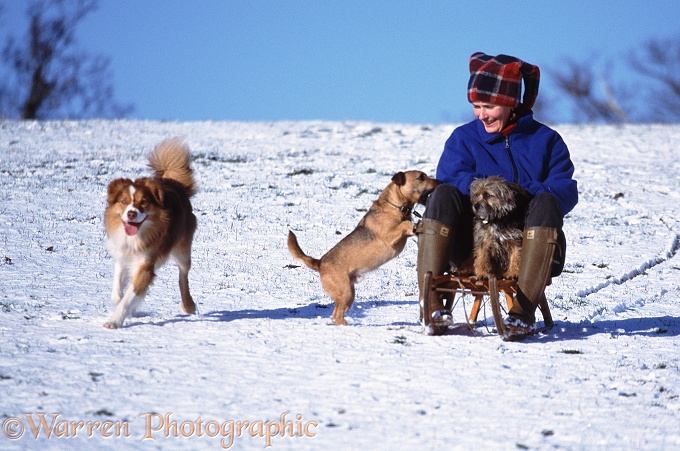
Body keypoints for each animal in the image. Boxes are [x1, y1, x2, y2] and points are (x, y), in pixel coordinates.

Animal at [103, 138, 198, 328]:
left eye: (144, 202)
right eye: (124, 201)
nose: (132, 213)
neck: (135, 236)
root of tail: (175, 184)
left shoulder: (146, 264)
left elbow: (128, 297)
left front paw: (115, 321)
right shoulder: (122, 254)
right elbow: (118, 291)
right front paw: (124, 302)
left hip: (183, 250)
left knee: (183, 275)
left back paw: (188, 305)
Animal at [286, 170, 440, 324]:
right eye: (421, 177)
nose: (439, 182)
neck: (395, 206)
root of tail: (319, 263)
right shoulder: (390, 235)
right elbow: (405, 225)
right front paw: (411, 225)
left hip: (349, 294)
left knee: (336, 314)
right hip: (346, 292)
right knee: (337, 315)